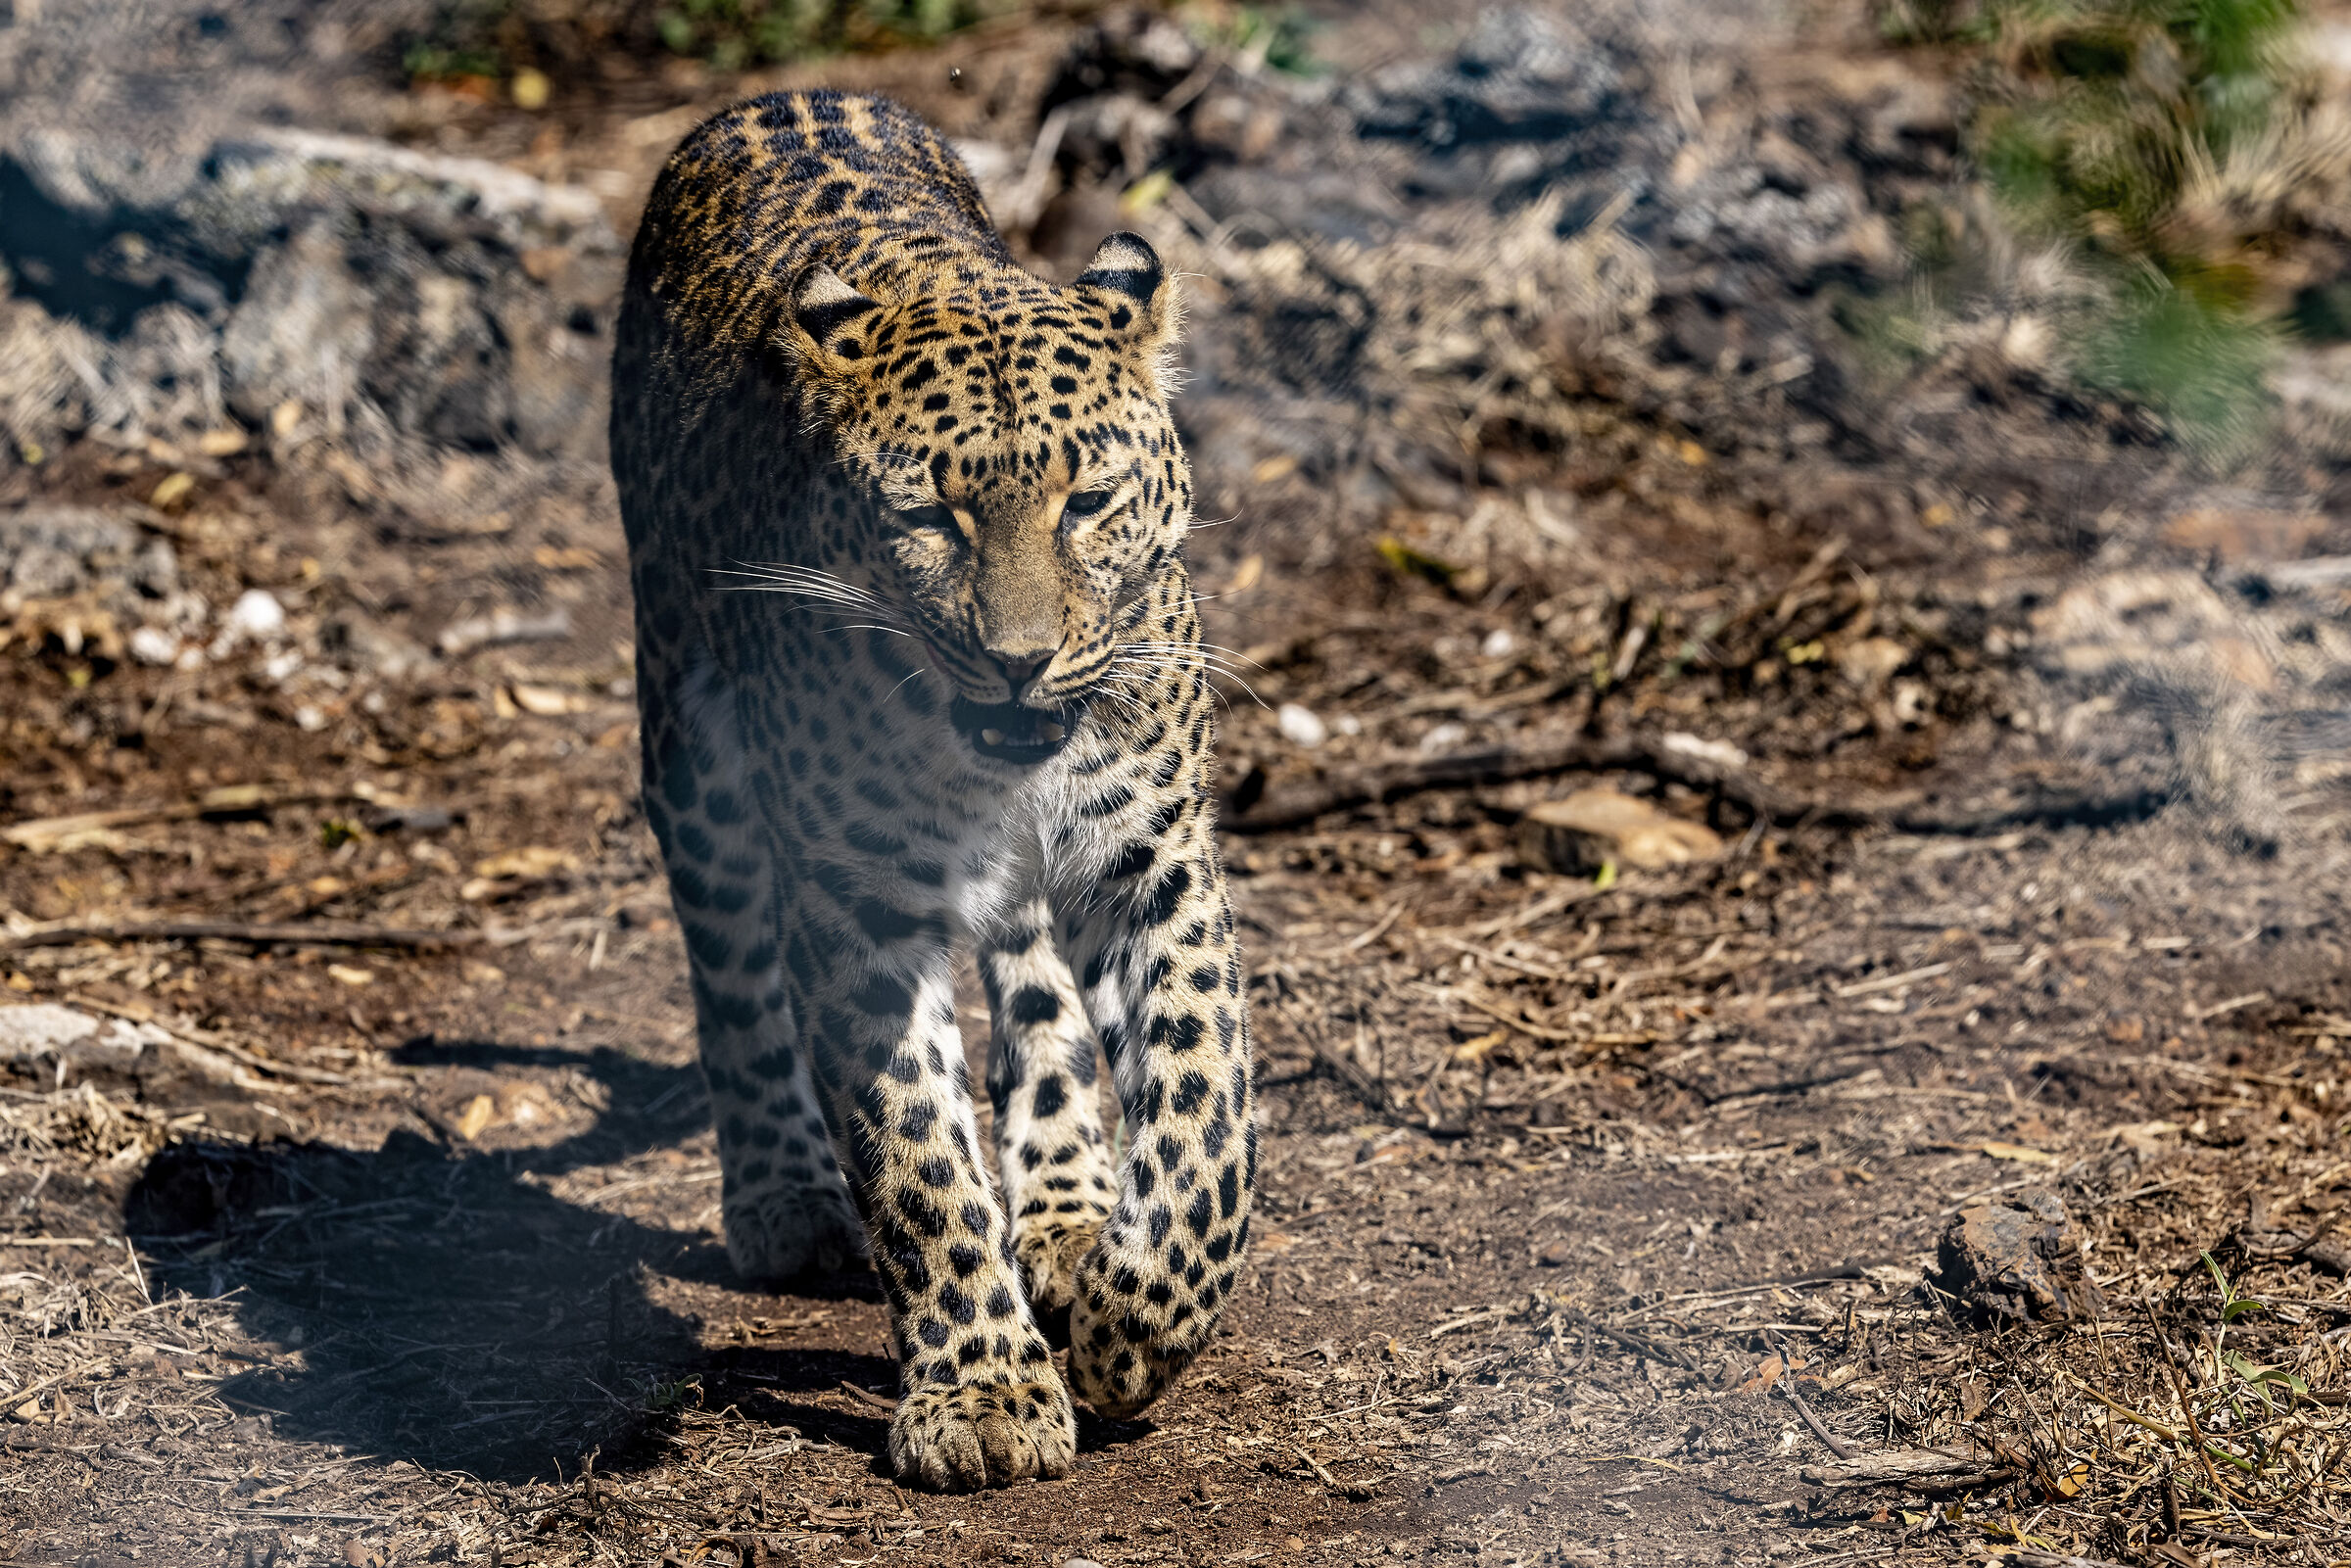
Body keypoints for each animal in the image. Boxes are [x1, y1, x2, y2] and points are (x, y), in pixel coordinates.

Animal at [609, 89, 1257, 1492]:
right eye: (931, 517)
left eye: (1088, 499)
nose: (1020, 659)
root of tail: (770, 99)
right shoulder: (853, 898)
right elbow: (916, 1155)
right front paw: (984, 1392)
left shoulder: (1153, 853)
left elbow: (1205, 1102)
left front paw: (1135, 1320)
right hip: (689, 733)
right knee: (730, 961)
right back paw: (787, 1197)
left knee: (1034, 977)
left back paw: (1068, 1206)